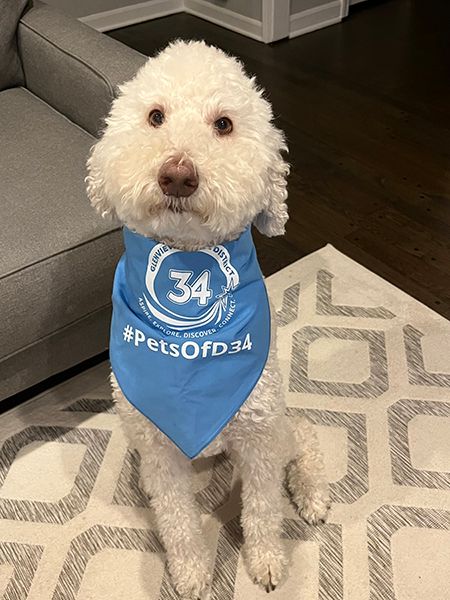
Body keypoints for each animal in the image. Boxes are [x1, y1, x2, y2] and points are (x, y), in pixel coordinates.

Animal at [86, 39, 328, 596]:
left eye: (223, 124)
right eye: (155, 116)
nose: (177, 174)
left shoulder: (259, 438)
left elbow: (263, 509)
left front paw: (265, 561)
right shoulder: (160, 453)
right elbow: (176, 518)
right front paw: (193, 571)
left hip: (276, 423)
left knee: (304, 436)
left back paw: (311, 493)